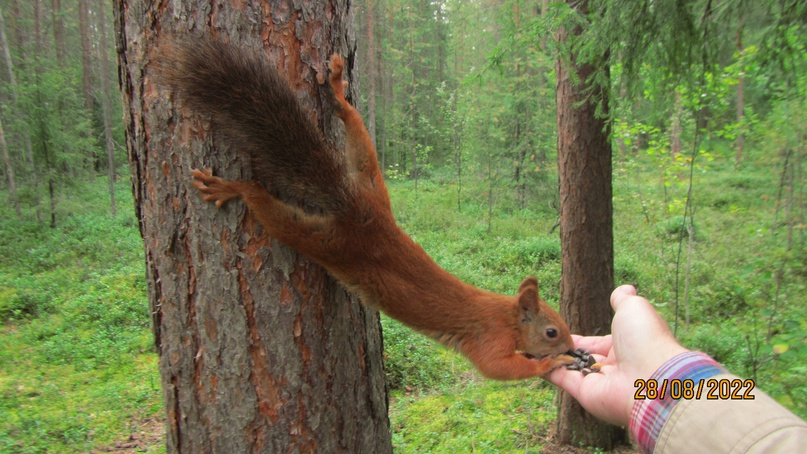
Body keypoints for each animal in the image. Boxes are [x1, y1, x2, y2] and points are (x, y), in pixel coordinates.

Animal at [160, 39, 575, 380]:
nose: (573, 348)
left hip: (371, 182)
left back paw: (337, 92)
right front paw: (550, 364)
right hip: (323, 239)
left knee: (354, 129)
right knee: (265, 206)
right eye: (552, 331)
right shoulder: (489, 340)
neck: (506, 316)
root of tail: (358, 209)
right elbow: (499, 369)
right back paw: (233, 187)